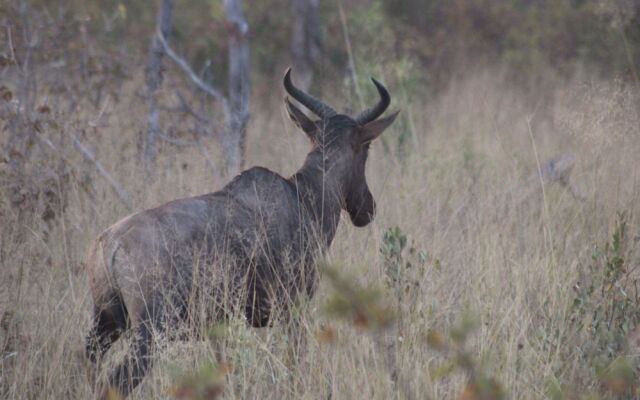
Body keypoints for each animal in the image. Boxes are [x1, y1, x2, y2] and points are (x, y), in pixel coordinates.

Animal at [84, 69, 396, 396]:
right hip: (151, 333)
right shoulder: (292, 309)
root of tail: (110, 244)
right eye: (366, 147)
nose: (367, 208)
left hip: (106, 324)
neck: (300, 195)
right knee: (117, 382)